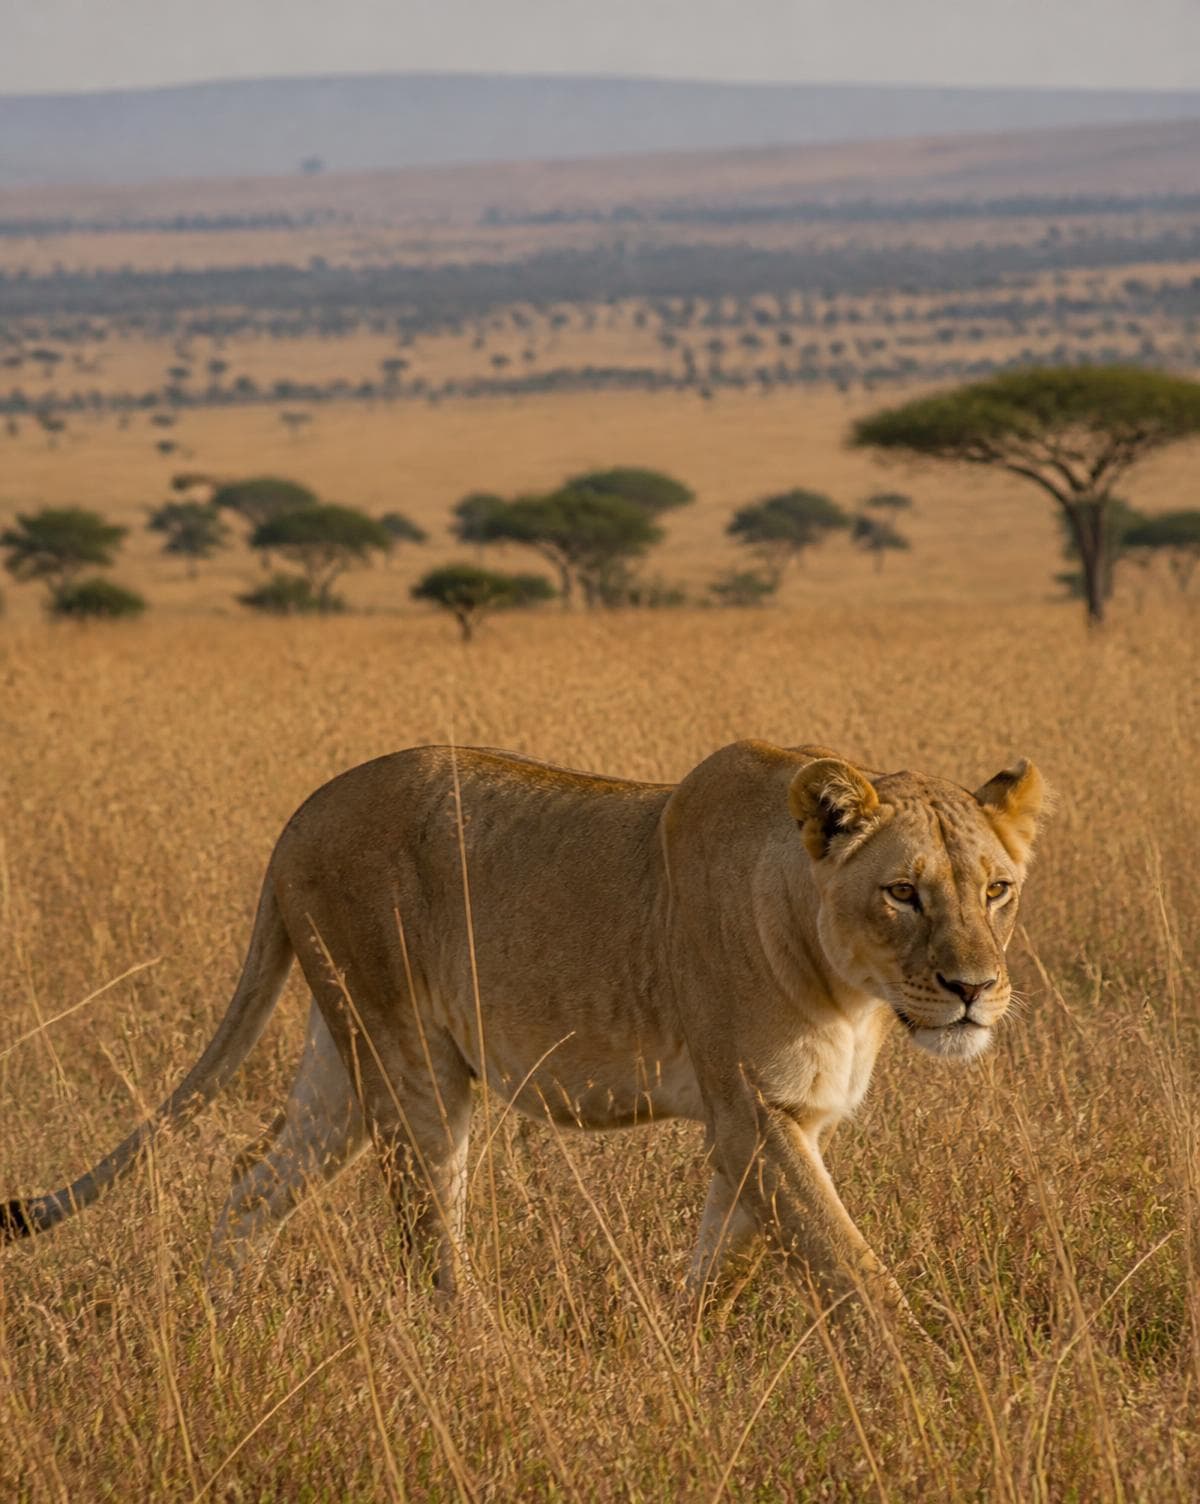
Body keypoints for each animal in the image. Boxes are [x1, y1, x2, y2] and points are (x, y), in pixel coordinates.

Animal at [2, 740, 1045, 1322]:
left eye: (998, 889)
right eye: (902, 892)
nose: (974, 990)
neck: (851, 989)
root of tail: (300, 815)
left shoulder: (779, 1124)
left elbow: (723, 1268)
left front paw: (671, 1353)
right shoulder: (751, 1113)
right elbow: (855, 1272)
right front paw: (924, 1394)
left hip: (343, 1054)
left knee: (256, 1175)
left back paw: (219, 1326)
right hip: (409, 1057)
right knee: (428, 1233)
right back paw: (473, 1348)